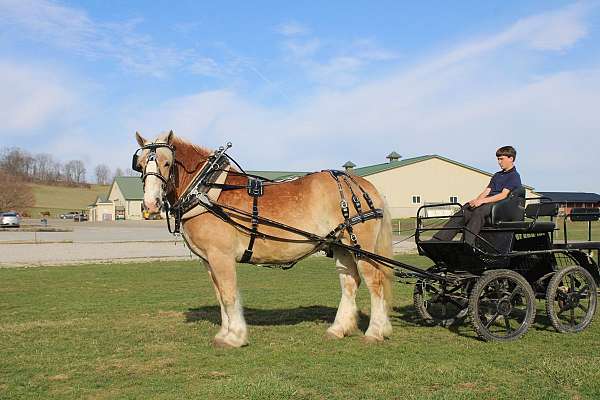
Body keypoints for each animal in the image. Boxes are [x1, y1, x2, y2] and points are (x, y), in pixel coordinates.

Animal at [135, 131, 396, 346]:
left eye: (167, 162)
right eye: (140, 164)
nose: (151, 204)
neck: (206, 190)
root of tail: (363, 185)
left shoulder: (221, 256)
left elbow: (228, 294)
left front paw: (235, 337)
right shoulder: (208, 260)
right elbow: (220, 296)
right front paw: (224, 334)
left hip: (361, 247)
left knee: (375, 282)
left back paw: (375, 332)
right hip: (342, 246)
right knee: (350, 282)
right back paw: (339, 329)